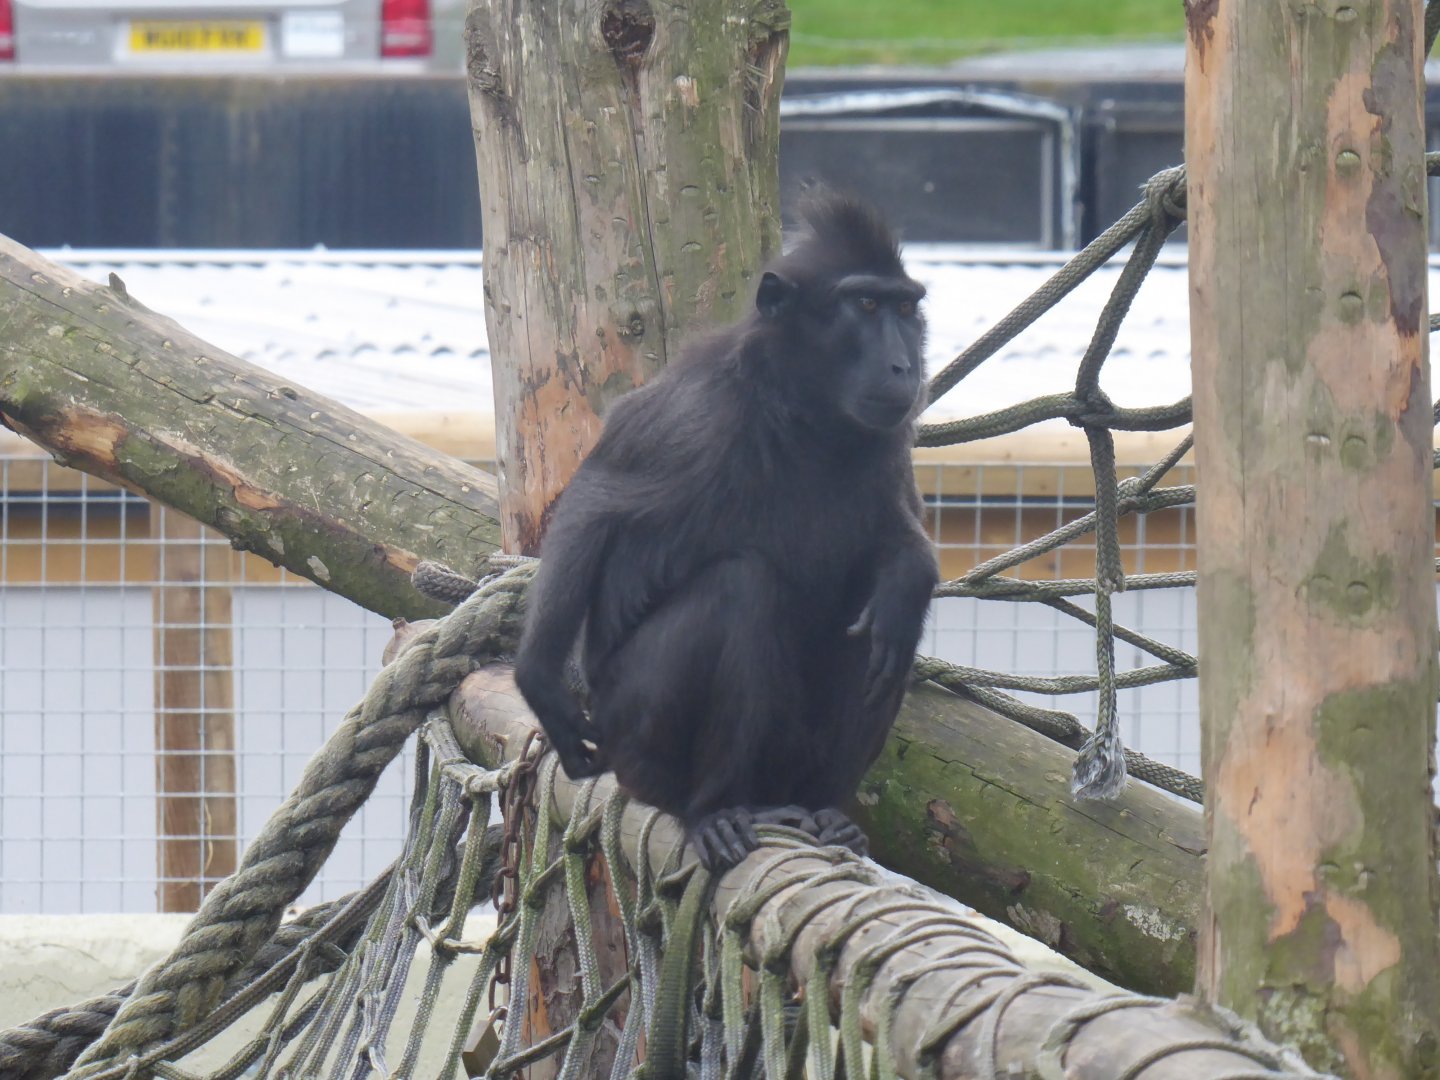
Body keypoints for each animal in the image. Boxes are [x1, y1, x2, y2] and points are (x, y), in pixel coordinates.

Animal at [514, 191, 939, 871]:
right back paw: (712, 810)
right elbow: (592, 507)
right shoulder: (699, 413)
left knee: (878, 627)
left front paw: (911, 574)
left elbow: (900, 540)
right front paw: (538, 679)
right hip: (633, 730)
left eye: (904, 308)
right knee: (741, 587)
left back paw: (826, 809)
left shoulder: (889, 438)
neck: (805, 416)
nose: (906, 366)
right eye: (866, 306)